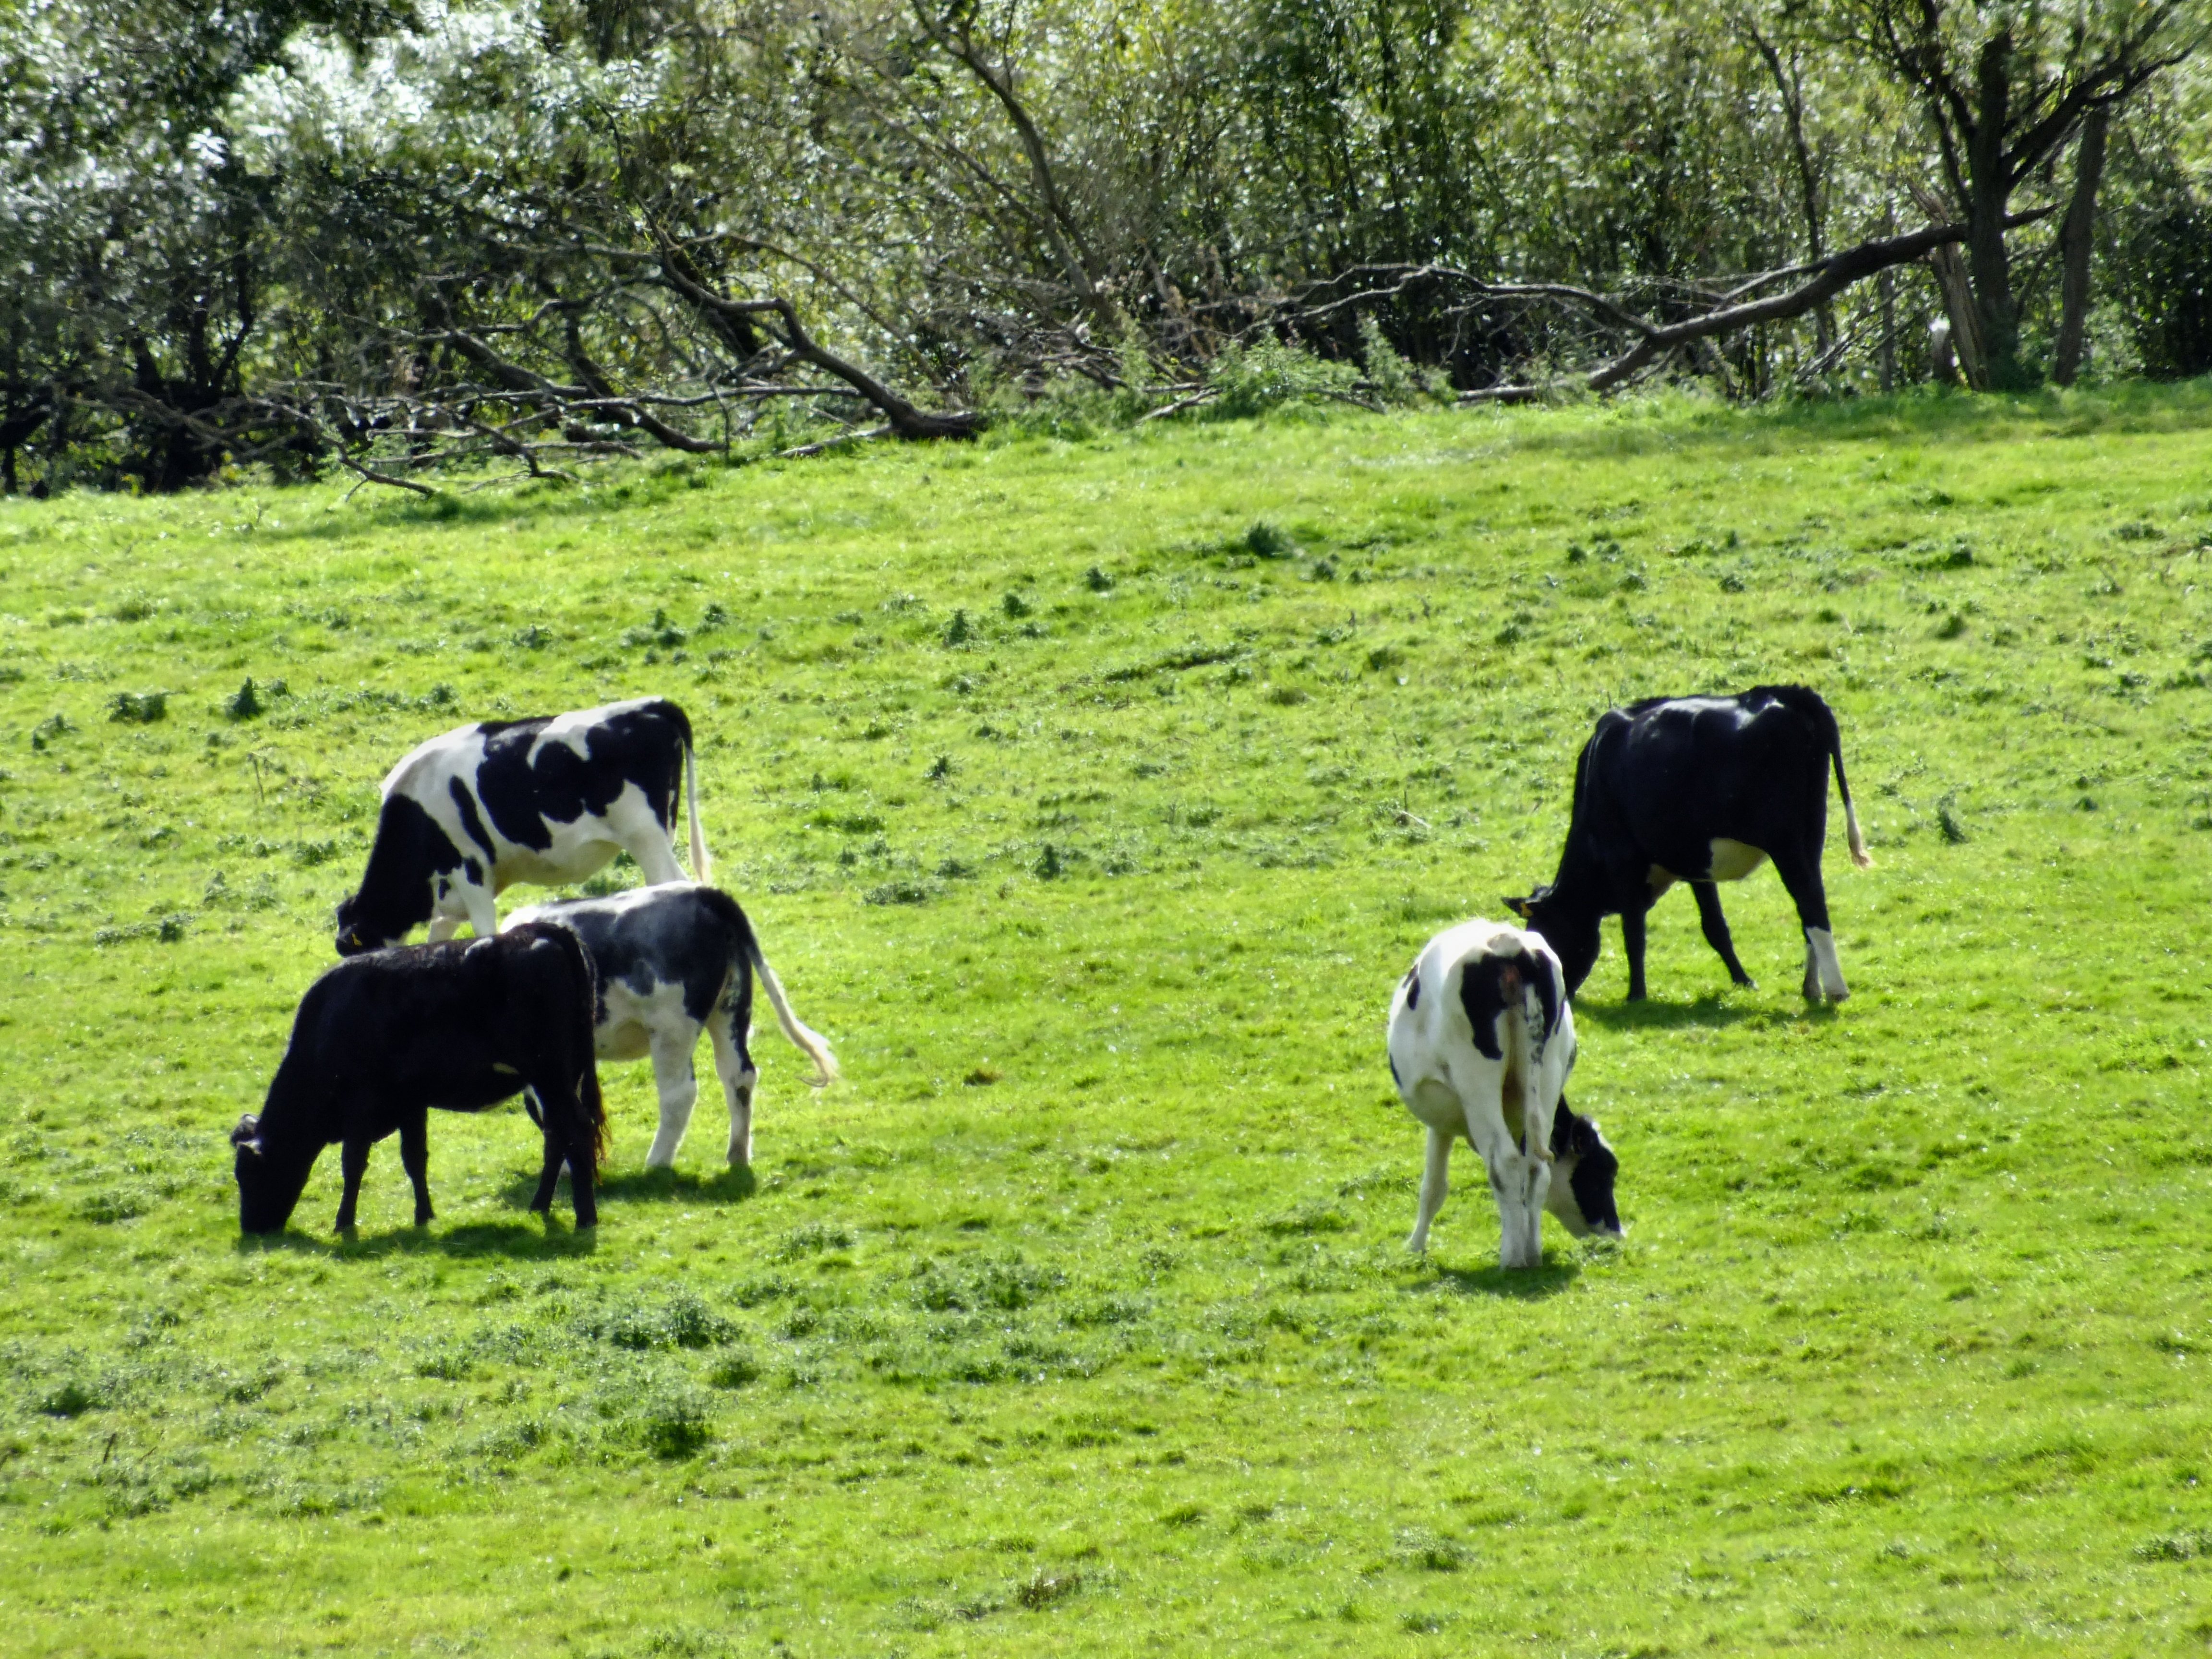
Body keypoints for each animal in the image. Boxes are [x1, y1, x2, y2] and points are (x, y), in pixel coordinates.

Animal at [231, 925, 606, 1238]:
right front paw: (424, 1215)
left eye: (247, 1173)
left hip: (551, 1076)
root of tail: (536, 933)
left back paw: (585, 1219)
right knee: (556, 1135)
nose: (250, 1229)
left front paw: (343, 1223)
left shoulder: (360, 1104)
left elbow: (353, 1164)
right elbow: (415, 1159)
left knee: (576, 1130)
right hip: (558, 1081)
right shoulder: (410, 1102)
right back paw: (539, 1206)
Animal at [506, 889, 836, 1177]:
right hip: (730, 1010)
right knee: (740, 1076)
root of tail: (703, 893)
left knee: (680, 1093)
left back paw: (657, 1162)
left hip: (671, 1028)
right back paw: (737, 1155)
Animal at [1371, 925, 1619, 1274]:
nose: (1617, 1232)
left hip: (1477, 1083)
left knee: (1505, 1160)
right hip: (1546, 1076)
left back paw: (1512, 1259)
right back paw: (1532, 1254)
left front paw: (1415, 1247)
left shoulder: (1442, 1121)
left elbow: (1433, 1186)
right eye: (1602, 1174)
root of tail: (1512, 949)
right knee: (1536, 1166)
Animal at [1504, 685, 1867, 999]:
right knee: (1810, 906)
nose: (1560, 997)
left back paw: (1836, 990)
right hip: (1811, 836)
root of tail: (1784, 693)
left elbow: (1633, 932)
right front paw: (1743, 980)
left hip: (1784, 842)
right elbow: (1715, 927)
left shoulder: (1622, 856)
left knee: (1811, 903)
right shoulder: (1694, 862)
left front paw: (1636, 995)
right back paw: (1811, 987)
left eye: (1543, 937)